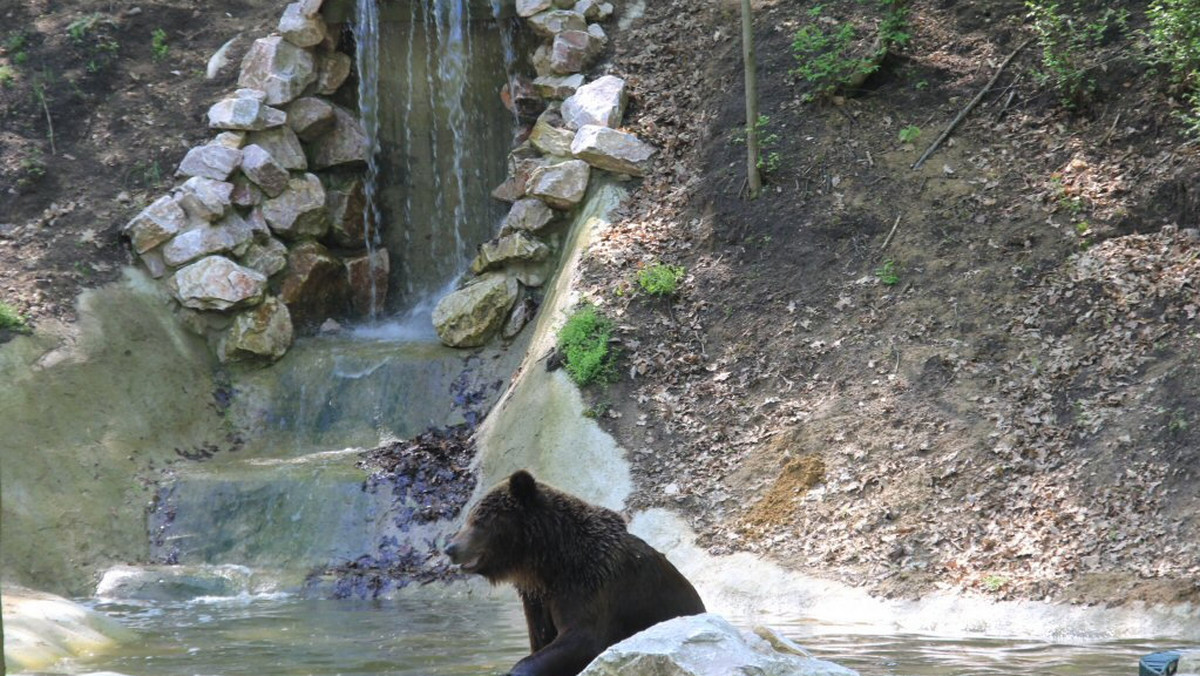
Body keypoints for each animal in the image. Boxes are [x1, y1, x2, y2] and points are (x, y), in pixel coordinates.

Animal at [446, 470, 700, 676]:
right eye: (470, 517)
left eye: (480, 520)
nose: (451, 548)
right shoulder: (537, 599)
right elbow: (542, 637)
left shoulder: (590, 584)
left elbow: (581, 637)